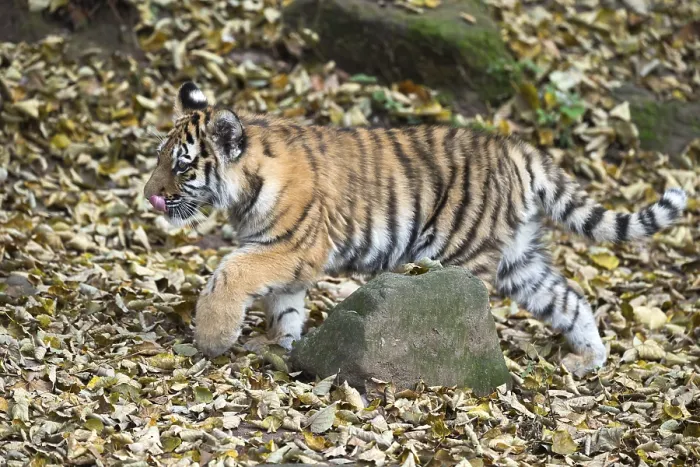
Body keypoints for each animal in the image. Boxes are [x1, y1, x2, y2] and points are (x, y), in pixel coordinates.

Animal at [143, 81, 688, 376]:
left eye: (182, 166)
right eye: (159, 158)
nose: (149, 195)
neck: (243, 189)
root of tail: (515, 148)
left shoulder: (292, 246)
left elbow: (229, 274)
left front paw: (213, 338)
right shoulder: (289, 259)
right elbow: (285, 306)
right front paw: (285, 346)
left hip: (461, 254)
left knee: (468, 310)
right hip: (519, 262)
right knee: (569, 299)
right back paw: (588, 360)